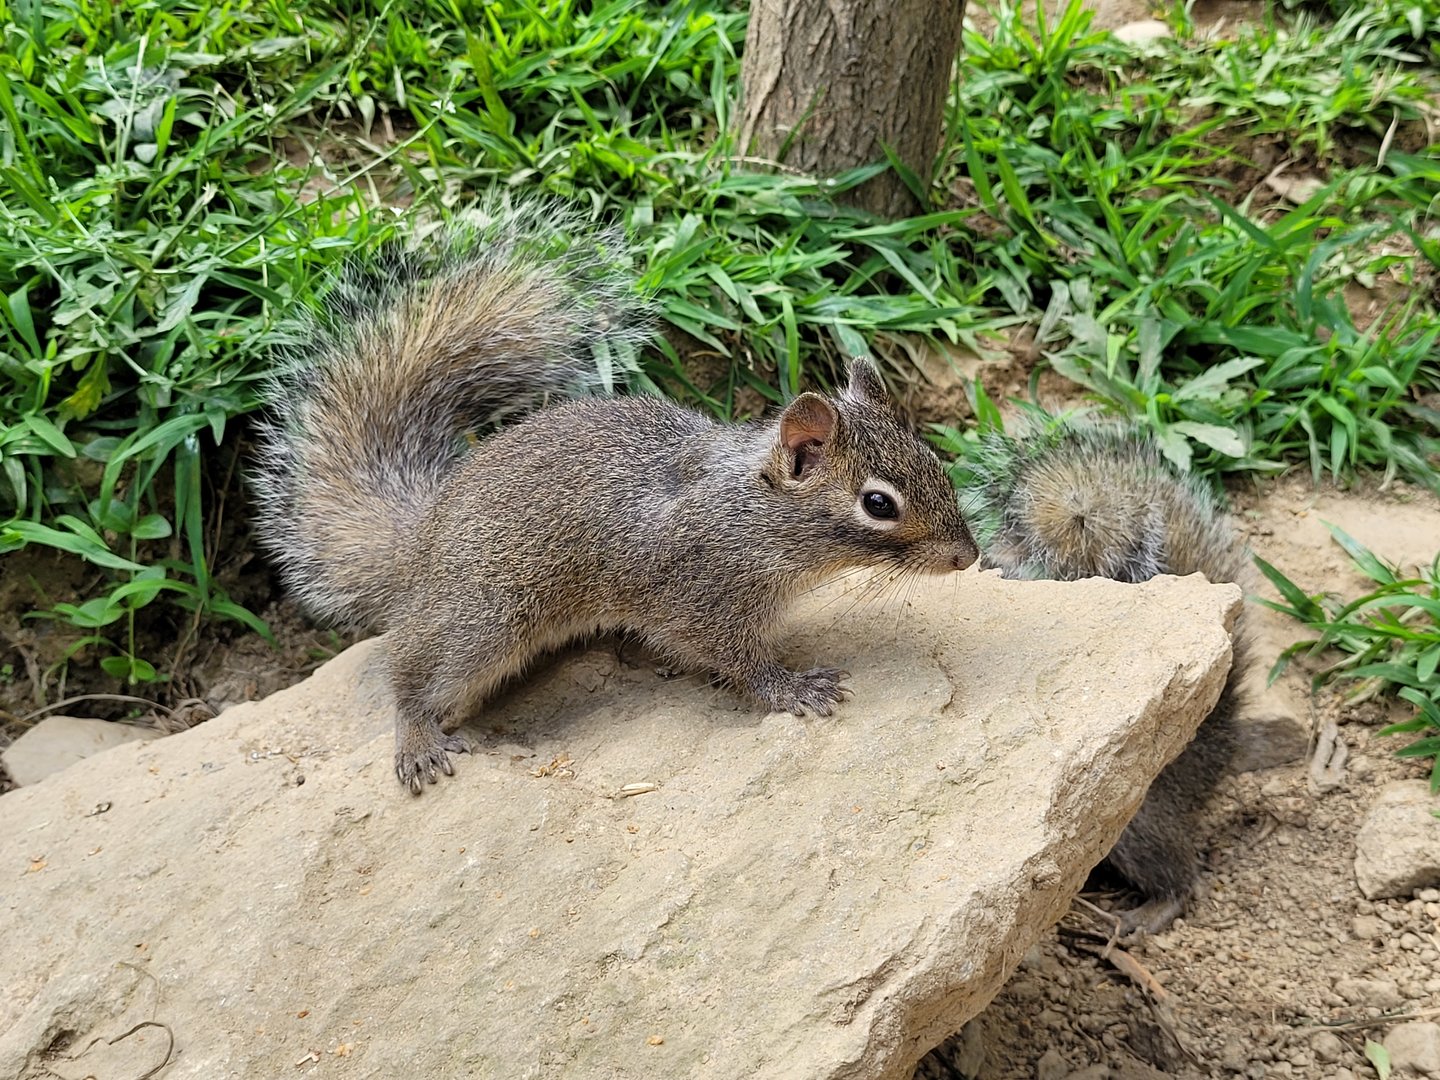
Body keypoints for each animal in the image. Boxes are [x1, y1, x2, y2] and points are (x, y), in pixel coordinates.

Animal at [251, 205, 980, 793]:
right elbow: (733, 659)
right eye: (878, 504)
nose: (968, 558)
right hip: (484, 619)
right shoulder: (696, 597)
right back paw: (418, 738)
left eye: (933, 461)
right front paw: (792, 687)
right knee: (408, 670)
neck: (753, 513)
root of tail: (420, 539)